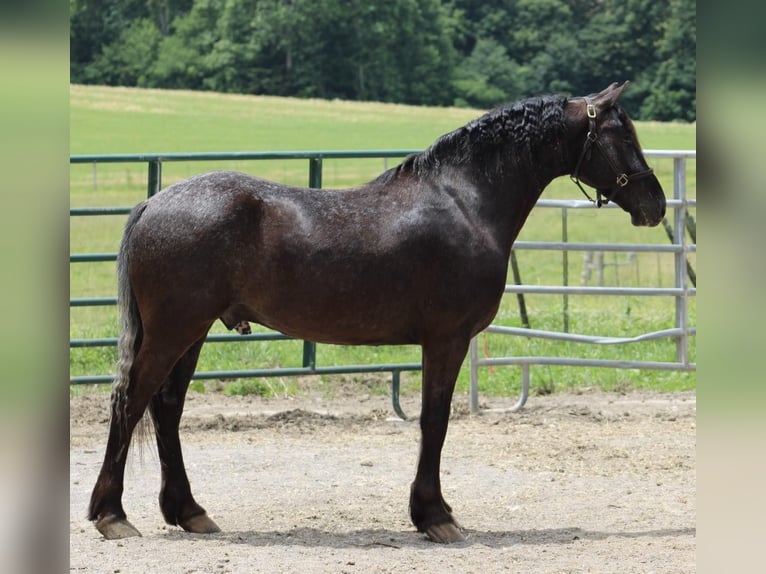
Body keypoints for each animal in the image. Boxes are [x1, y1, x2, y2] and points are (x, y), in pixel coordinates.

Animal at [88, 82, 665, 543]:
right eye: (623, 135)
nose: (656, 204)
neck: (465, 201)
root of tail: (154, 202)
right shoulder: (447, 340)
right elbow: (435, 421)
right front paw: (435, 517)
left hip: (193, 333)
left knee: (166, 409)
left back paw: (189, 512)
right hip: (173, 331)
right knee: (129, 403)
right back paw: (112, 515)